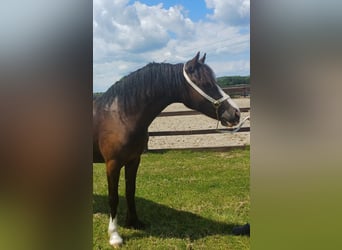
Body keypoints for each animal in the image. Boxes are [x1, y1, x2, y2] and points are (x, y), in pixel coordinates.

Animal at [93, 51, 240, 247]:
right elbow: (113, 197)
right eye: (206, 84)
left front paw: (134, 222)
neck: (121, 115)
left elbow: (130, 191)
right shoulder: (113, 164)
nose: (236, 113)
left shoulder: (133, 160)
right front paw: (115, 236)